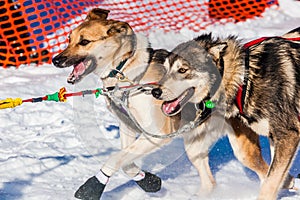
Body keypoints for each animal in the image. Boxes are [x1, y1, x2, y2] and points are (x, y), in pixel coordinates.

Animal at [152, 27, 300, 200]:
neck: (245, 79)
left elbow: (270, 183)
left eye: (182, 70)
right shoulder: (274, 138)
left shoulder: (288, 135)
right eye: (165, 69)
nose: (155, 91)